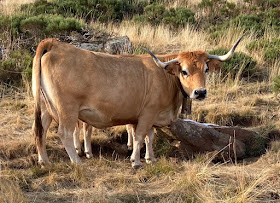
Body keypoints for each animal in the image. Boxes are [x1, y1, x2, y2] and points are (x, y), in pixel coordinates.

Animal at [32, 36, 242, 168]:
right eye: (184, 71)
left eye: (206, 69)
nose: (200, 92)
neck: (166, 76)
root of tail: (55, 44)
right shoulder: (148, 113)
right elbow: (140, 136)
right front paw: (136, 161)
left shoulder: (151, 116)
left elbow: (150, 137)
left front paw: (150, 158)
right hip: (67, 109)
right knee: (64, 133)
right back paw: (77, 161)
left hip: (45, 108)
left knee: (40, 131)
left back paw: (44, 161)